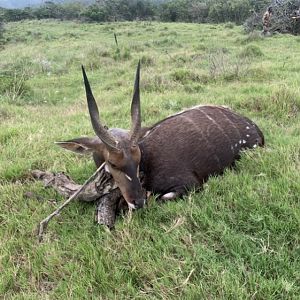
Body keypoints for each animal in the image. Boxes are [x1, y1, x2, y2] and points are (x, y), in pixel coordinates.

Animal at [57, 62, 264, 210]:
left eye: (138, 159)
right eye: (113, 164)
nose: (138, 202)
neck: (148, 164)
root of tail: (255, 128)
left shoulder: (190, 185)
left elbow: (161, 197)